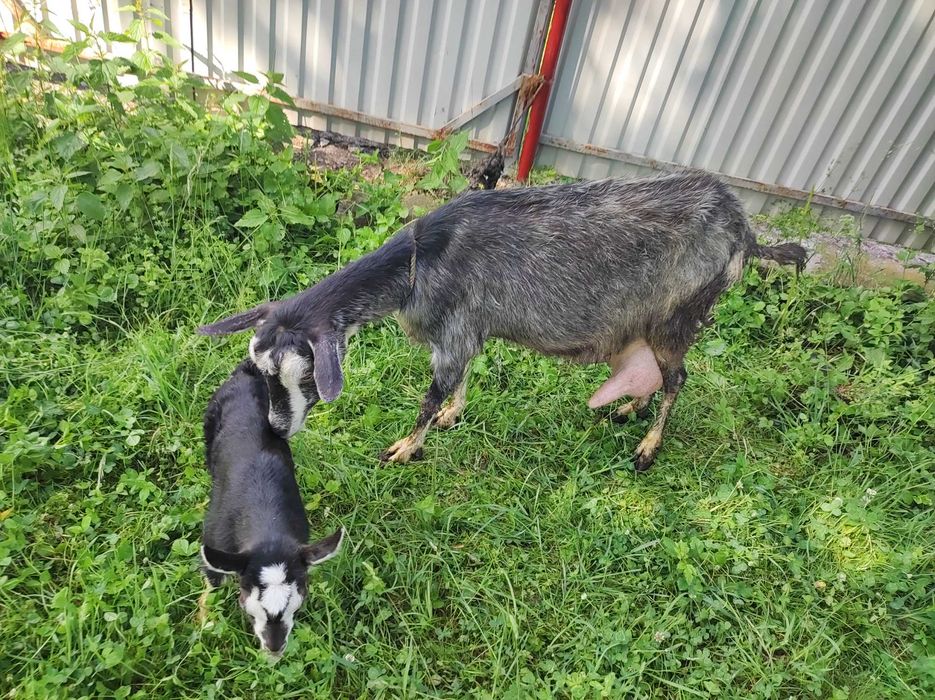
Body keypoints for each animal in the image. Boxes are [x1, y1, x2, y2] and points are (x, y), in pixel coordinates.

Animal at [199, 172, 805, 471]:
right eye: (257, 370)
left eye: (301, 375)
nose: (276, 430)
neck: (419, 263)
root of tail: (744, 228)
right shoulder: (467, 328)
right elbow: (464, 376)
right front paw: (453, 415)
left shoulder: (455, 329)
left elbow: (431, 394)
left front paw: (405, 448)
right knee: (657, 375)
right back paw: (632, 409)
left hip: (678, 313)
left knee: (678, 376)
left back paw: (649, 446)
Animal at [199, 359, 344, 657]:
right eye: (245, 604)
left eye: (299, 603)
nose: (274, 648)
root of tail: (246, 371)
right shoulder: (215, 542)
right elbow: (212, 583)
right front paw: (206, 623)